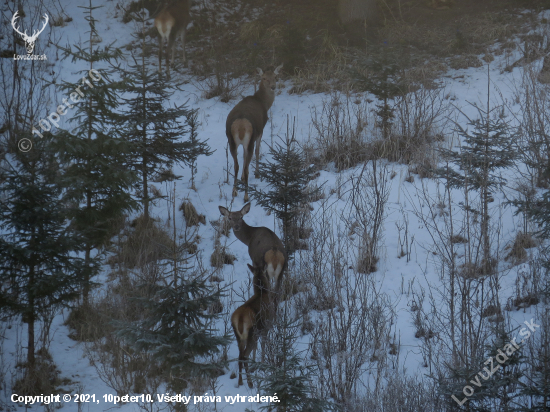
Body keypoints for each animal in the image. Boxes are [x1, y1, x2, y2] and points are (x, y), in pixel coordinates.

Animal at [225, 63, 284, 203]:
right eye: (264, 78)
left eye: (275, 77)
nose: (273, 87)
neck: (264, 103)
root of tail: (241, 125)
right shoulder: (261, 130)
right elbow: (257, 151)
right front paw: (257, 173)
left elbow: (244, 155)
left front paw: (241, 178)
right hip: (250, 137)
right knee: (247, 165)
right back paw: (246, 196)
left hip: (231, 140)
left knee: (236, 165)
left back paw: (234, 191)